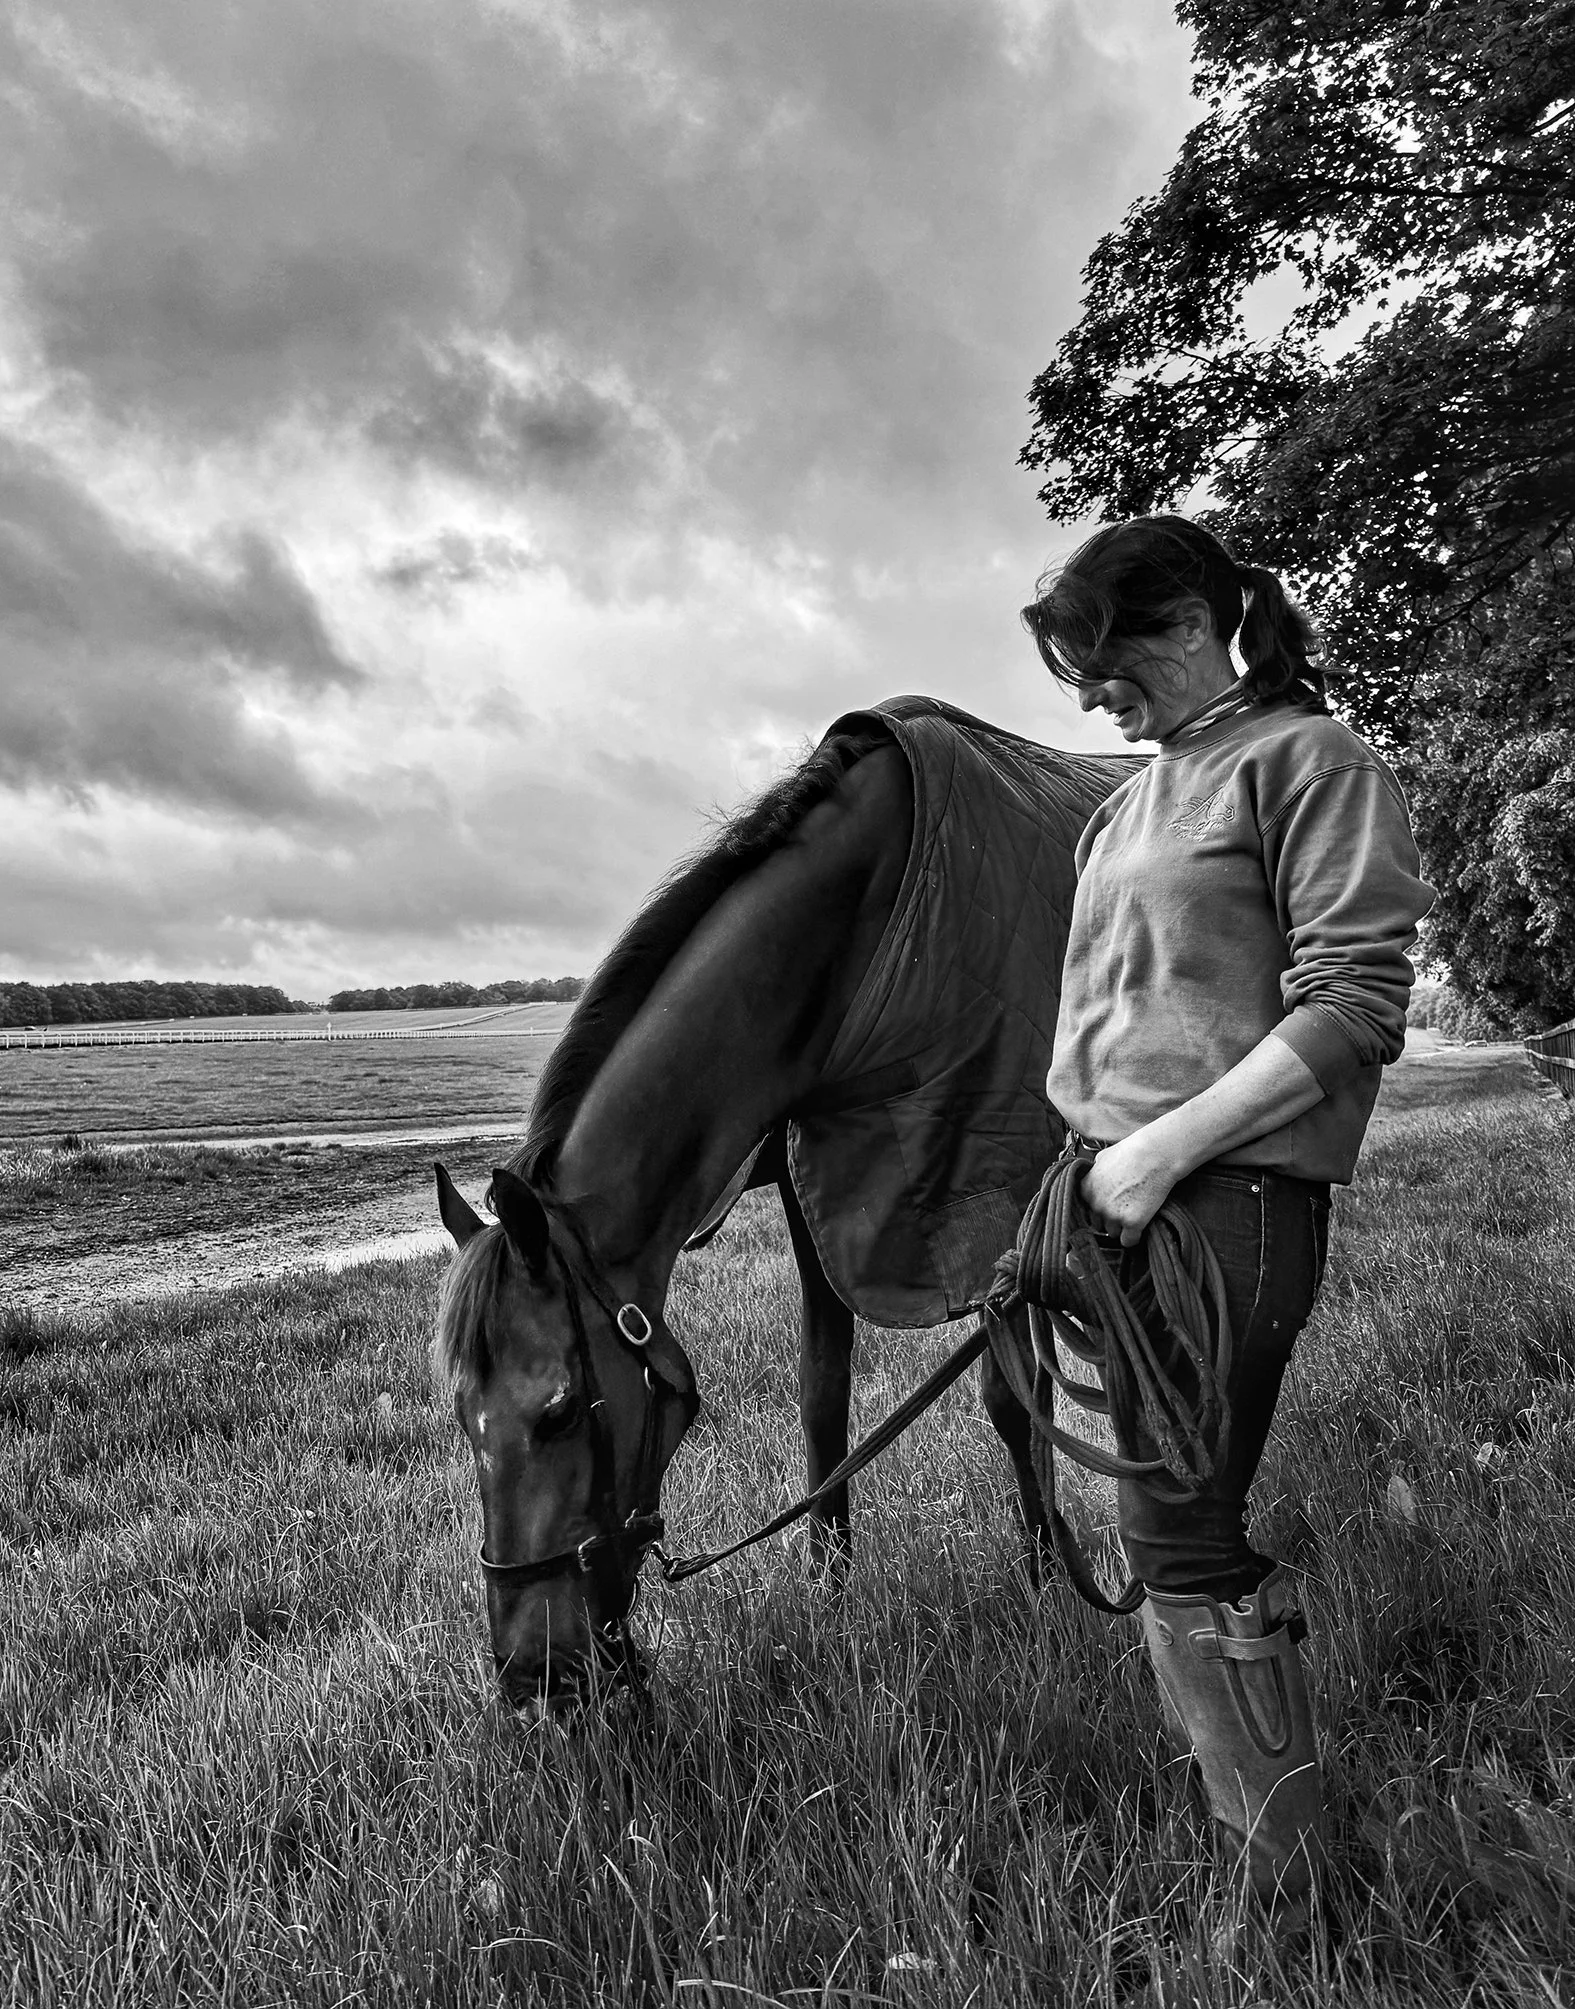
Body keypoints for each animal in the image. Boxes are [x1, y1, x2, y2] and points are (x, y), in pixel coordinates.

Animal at [432, 698, 1138, 1702]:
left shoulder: (988, 1194)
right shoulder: (822, 1188)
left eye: (559, 1412)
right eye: (463, 1418)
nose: (536, 1675)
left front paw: (1047, 1580)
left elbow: (1010, 1393)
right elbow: (821, 1394)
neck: (859, 932)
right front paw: (829, 1590)